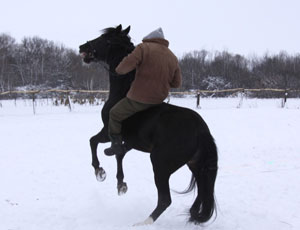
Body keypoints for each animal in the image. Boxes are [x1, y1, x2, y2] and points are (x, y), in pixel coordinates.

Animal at [79, 24, 218, 225]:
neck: (123, 91)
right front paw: (121, 185)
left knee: (165, 199)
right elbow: (119, 155)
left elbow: (93, 141)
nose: (82, 47)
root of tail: (201, 130)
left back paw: (143, 223)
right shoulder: (128, 141)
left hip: (160, 165)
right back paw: (193, 215)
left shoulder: (108, 131)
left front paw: (100, 172)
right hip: (196, 165)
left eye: (104, 39)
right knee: (201, 192)